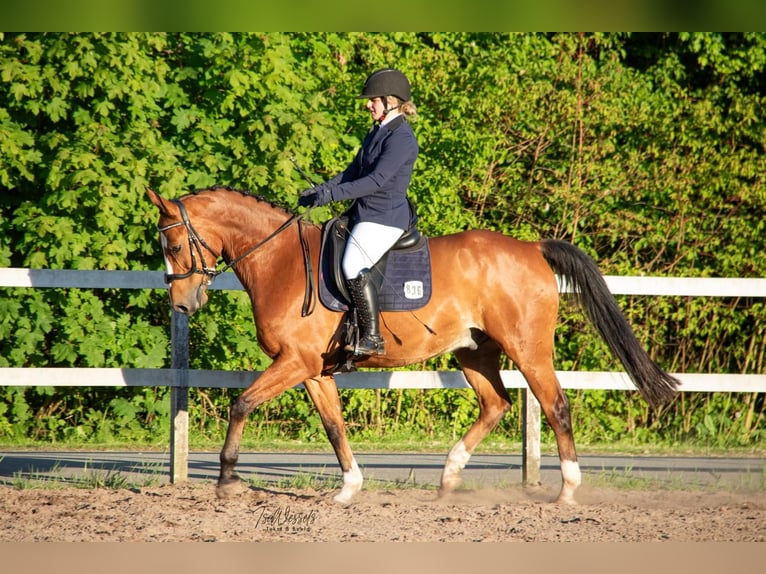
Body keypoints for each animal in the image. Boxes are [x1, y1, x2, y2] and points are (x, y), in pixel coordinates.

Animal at [147, 185, 679, 505]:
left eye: (172, 246)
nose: (183, 304)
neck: (282, 262)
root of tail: (530, 248)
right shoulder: (313, 369)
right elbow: (334, 426)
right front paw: (349, 488)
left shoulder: (293, 362)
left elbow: (242, 403)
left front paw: (227, 478)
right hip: (474, 351)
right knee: (496, 404)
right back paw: (448, 478)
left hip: (527, 350)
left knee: (555, 405)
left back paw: (567, 491)